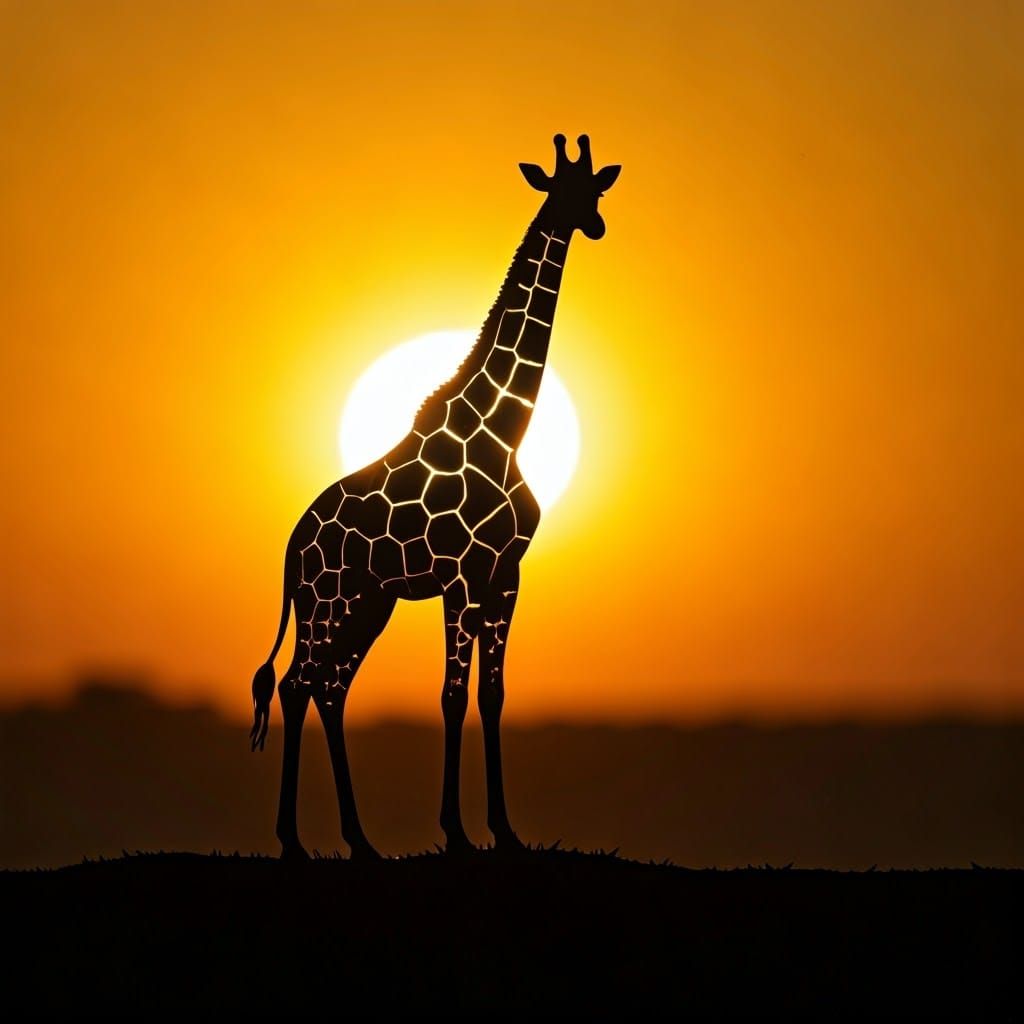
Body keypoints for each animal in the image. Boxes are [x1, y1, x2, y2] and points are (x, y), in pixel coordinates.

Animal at [250, 134, 620, 860]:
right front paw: (455, 832)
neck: (505, 430)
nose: (594, 226)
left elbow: (492, 694)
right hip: (327, 601)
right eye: (561, 190)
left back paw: (359, 841)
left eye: (595, 190)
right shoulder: (463, 576)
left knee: (329, 687)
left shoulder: (505, 576)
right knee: (298, 682)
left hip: (370, 603)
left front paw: (502, 831)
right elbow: (451, 694)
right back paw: (294, 842)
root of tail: (291, 549)